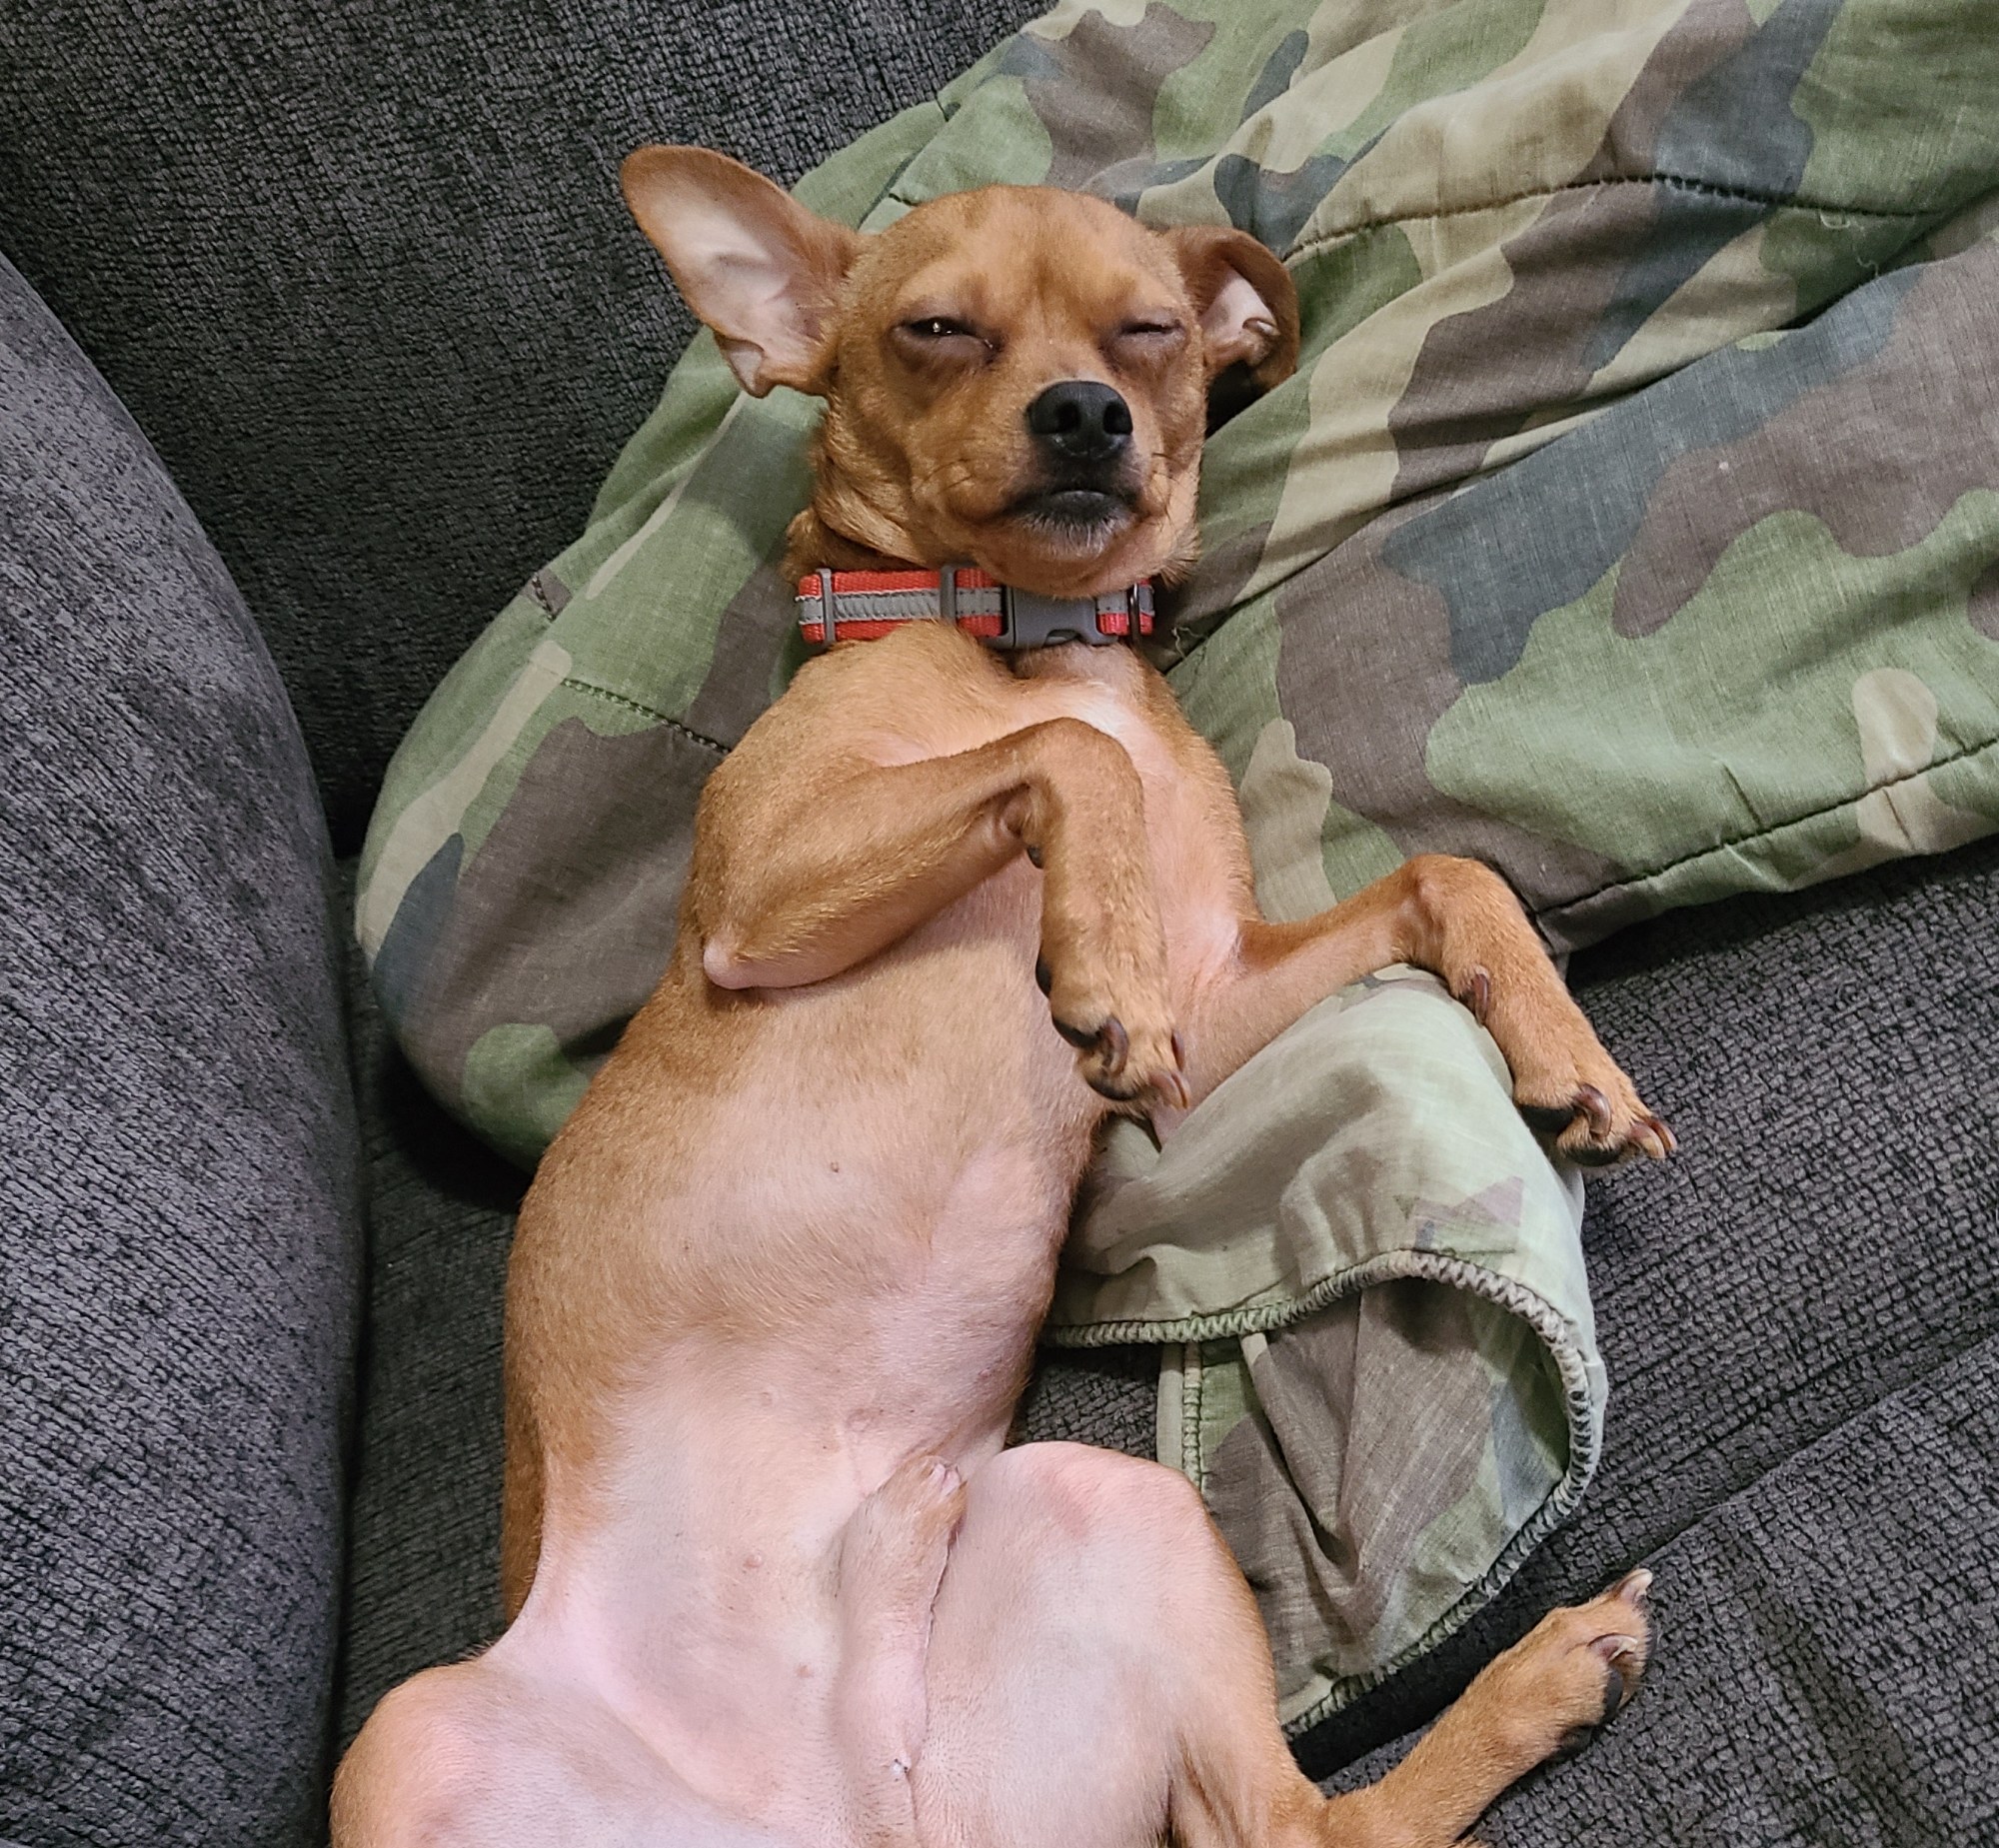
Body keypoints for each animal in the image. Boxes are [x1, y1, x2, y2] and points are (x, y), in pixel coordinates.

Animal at [333, 147, 1673, 1848]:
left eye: (1151, 330)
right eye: (937, 329)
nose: (1086, 413)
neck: (1030, 640)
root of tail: (840, 1817)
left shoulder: (1218, 981)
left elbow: (1449, 874)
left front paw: (1568, 1057)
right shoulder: (758, 895)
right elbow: (1072, 758)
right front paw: (1091, 960)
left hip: (1112, 1510)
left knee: (1319, 1828)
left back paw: (1548, 1678)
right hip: (408, 1742)